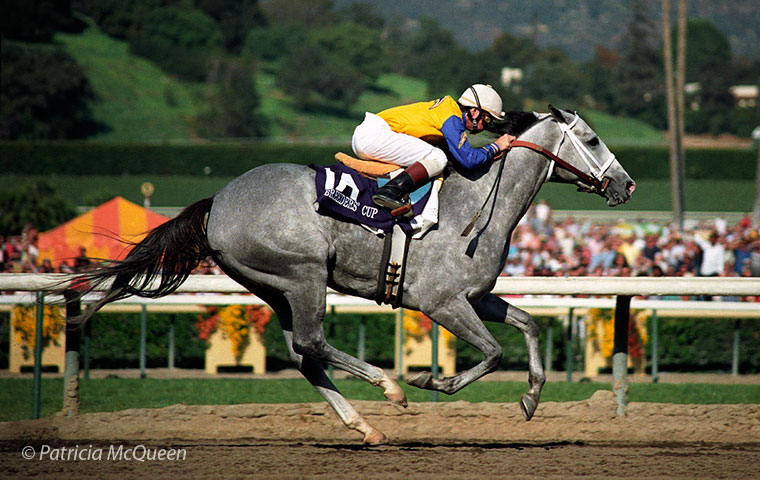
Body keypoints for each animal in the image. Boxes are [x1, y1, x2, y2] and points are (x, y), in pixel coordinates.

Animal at [72, 107, 636, 444]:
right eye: (592, 138)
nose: (626, 185)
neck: (477, 204)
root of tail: (219, 200)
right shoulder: (441, 302)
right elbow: (494, 353)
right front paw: (432, 379)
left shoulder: (475, 297)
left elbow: (528, 324)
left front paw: (532, 397)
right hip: (303, 273)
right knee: (313, 342)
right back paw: (390, 389)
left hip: (273, 285)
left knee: (303, 353)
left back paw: (365, 426)